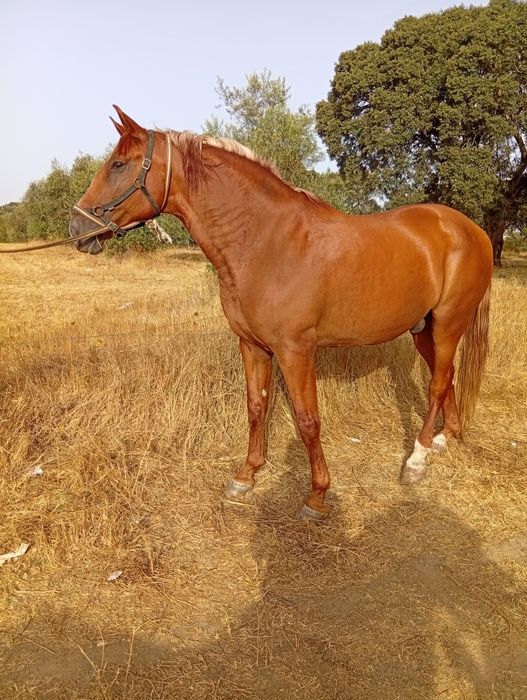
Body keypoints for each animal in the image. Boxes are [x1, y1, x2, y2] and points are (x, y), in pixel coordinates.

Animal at [69, 106, 493, 519]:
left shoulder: (296, 350)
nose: (76, 226)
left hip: (448, 324)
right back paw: (444, 438)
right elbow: (257, 406)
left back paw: (417, 460)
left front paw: (317, 495)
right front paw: (246, 476)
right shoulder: (252, 345)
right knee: (447, 376)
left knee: (437, 383)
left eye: (119, 164)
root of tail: (471, 229)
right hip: (423, 329)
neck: (267, 243)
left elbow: (308, 420)